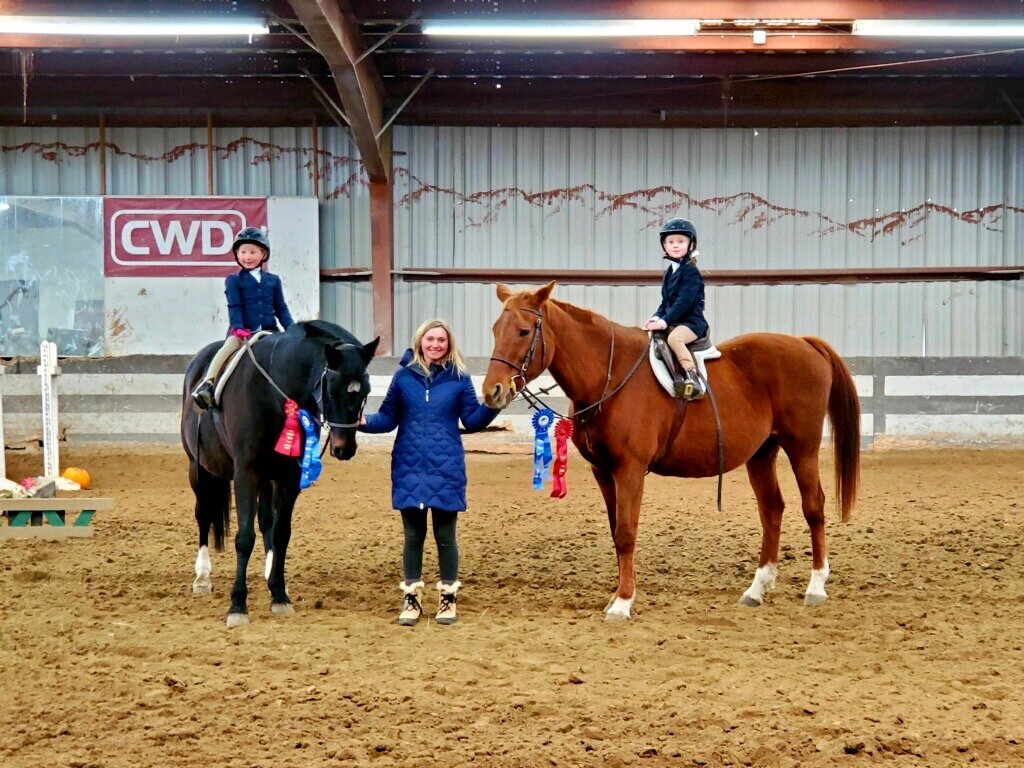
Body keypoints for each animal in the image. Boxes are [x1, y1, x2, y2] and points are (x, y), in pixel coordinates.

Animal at [180, 320, 379, 627]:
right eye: (331, 389)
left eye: (365, 391)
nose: (344, 448)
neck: (273, 391)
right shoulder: (246, 473)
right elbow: (244, 538)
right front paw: (237, 606)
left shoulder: (289, 477)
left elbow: (281, 532)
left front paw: (279, 595)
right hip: (199, 469)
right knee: (203, 514)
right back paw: (202, 577)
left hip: (265, 478)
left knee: (266, 522)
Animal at [482, 282, 860, 620]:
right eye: (496, 330)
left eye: (523, 331)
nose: (492, 391)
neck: (609, 376)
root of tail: (805, 343)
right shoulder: (603, 471)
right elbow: (615, 531)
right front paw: (617, 596)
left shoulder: (629, 470)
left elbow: (626, 533)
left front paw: (622, 603)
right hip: (761, 454)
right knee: (772, 510)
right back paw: (757, 589)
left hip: (802, 448)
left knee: (813, 507)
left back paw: (816, 586)